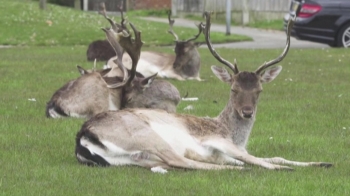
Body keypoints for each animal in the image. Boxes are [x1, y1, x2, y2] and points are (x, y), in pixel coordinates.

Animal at [74, 12, 334, 172]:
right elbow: (252, 158)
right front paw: (287, 166)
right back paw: (238, 169)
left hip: (134, 159)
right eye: (233, 88)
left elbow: (269, 156)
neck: (234, 135)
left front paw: (323, 163)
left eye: (259, 90)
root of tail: (83, 138)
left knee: (173, 163)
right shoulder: (216, 140)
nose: (247, 112)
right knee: (183, 160)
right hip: (146, 135)